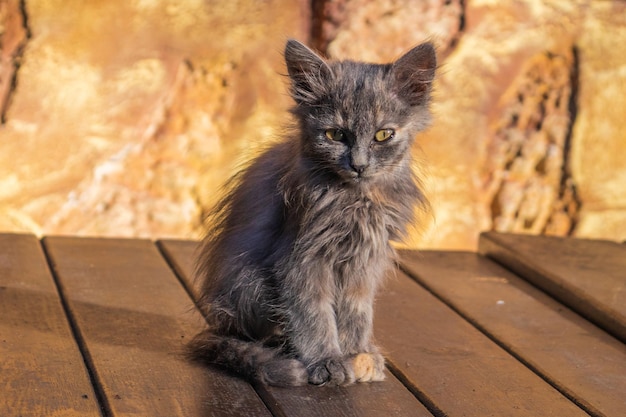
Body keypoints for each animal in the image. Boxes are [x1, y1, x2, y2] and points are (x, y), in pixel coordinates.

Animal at [190, 39, 434, 386]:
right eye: (335, 135)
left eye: (383, 135)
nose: (359, 164)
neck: (354, 200)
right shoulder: (300, 260)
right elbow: (314, 315)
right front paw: (328, 360)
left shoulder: (364, 261)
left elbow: (357, 313)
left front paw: (357, 353)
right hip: (250, 284)